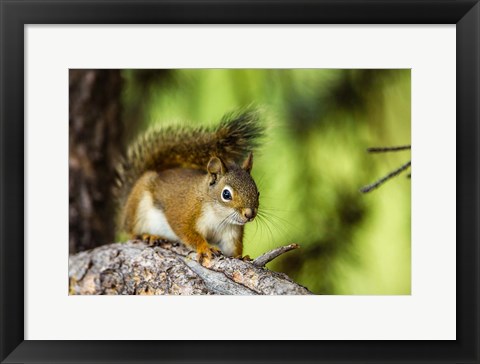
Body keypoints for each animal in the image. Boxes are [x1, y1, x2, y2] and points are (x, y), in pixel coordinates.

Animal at [116, 108, 266, 264]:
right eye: (226, 194)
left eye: (258, 192)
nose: (249, 214)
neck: (219, 216)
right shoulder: (184, 212)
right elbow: (187, 232)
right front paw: (205, 248)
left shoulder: (231, 232)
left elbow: (232, 248)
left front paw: (241, 257)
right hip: (137, 207)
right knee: (131, 232)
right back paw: (148, 235)